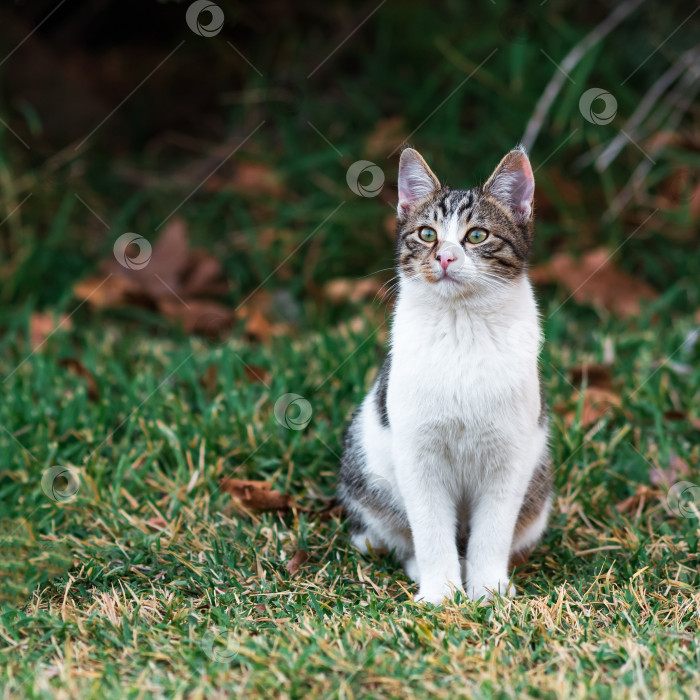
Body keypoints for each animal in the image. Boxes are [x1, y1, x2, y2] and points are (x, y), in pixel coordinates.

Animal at [340, 145, 552, 604]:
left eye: (477, 236)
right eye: (426, 234)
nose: (445, 256)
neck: (462, 327)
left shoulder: (511, 454)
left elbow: (493, 530)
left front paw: (487, 590)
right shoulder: (417, 452)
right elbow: (431, 527)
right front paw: (441, 593)